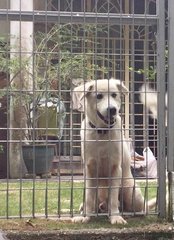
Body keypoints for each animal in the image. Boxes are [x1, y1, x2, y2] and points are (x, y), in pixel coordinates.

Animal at [71, 79, 151, 225]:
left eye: (114, 95)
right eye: (98, 96)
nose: (112, 110)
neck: (102, 133)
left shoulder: (115, 168)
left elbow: (113, 198)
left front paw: (115, 217)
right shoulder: (89, 169)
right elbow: (89, 197)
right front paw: (85, 216)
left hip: (130, 190)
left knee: (136, 209)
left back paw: (125, 213)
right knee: (96, 202)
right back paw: (94, 208)